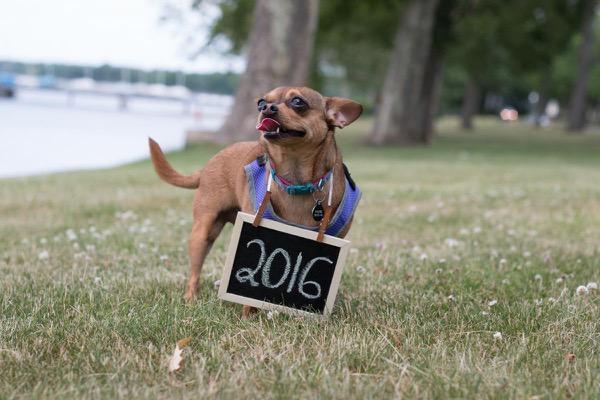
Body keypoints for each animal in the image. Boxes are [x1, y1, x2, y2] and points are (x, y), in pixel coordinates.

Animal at [149, 86, 360, 314]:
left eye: (298, 101)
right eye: (261, 102)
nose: (267, 108)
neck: (295, 179)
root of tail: (205, 167)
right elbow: (247, 299)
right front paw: (247, 316)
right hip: (203, 232)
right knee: (194, 274)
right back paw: (190, 299)